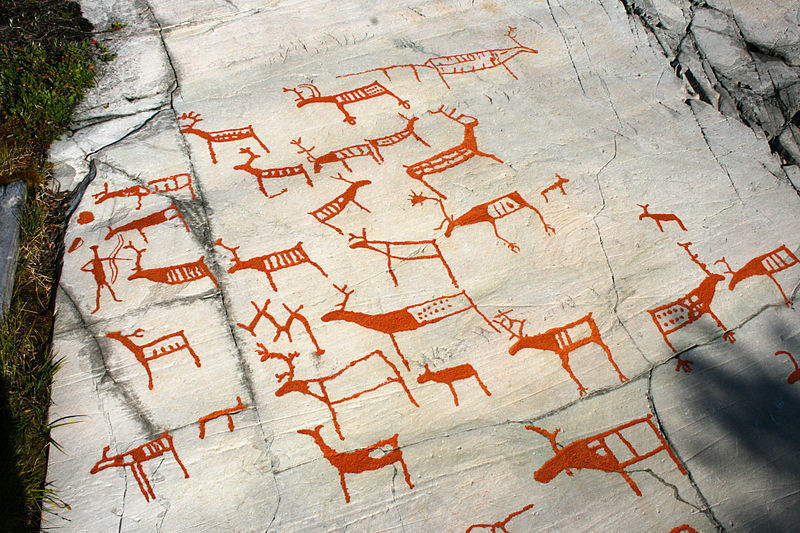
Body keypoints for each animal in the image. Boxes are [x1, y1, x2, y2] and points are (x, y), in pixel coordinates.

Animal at [259, 347, 417, 440]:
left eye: (288, 385)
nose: (277, 393)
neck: (314, 388)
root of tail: (379, 352)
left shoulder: (329, 402)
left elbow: (335, 418)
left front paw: (341, 436)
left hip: (392, 376)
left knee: (401, 381)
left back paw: (414, 403)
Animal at [322, 285, 498, 370]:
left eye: (334, 313)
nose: (323, 318)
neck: (378, 319)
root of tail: (462, 293)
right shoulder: (392, 334)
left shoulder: (392, 333)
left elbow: (400, 355)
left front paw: (407, 367)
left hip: (469, 309)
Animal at [493, 309, 628, 396]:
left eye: (521, 342)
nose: (510, 351)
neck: (548, 341)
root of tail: (589, 316)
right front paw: (583, 389)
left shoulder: (563, 353)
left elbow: (567, 368)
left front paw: (583, 390)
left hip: (595, 337)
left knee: (607, 350)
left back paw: (622, 376)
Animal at [526, 414, 687, 496]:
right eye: (552, 460)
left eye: (556, 462)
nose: (537, 475)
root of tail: (647, 417)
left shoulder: (617, 466)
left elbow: (631, 482)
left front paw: (638, 492)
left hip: (661, 444)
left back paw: (683, 471)